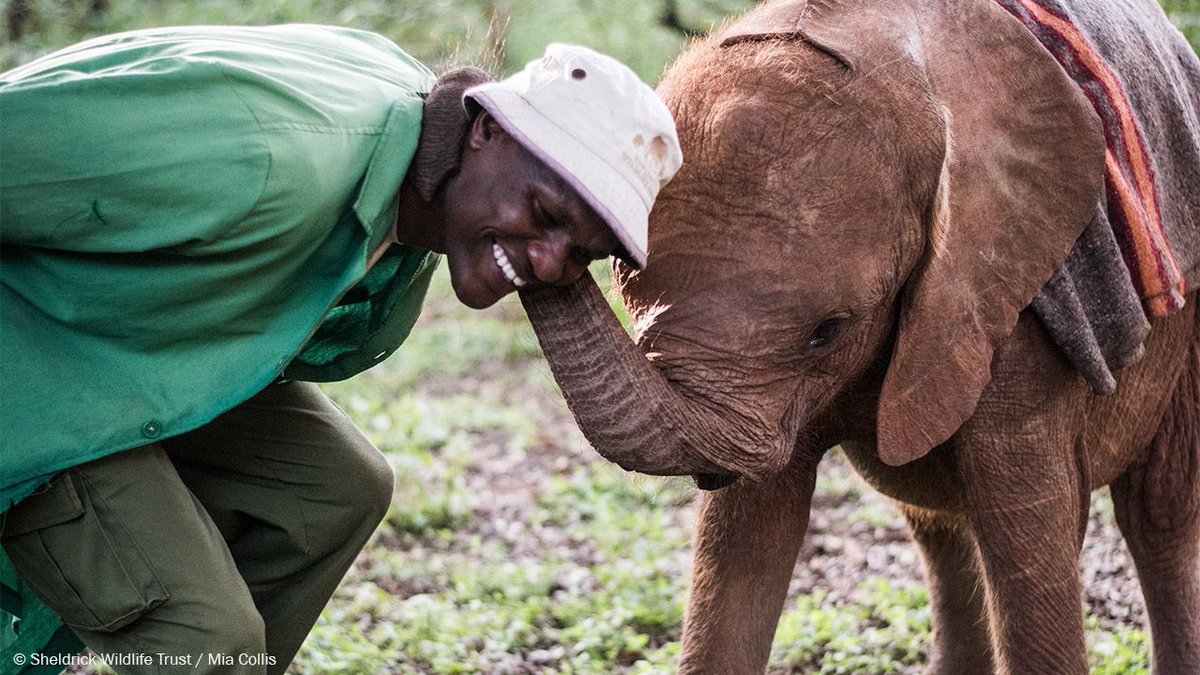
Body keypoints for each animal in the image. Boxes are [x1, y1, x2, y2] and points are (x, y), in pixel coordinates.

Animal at [517, 0, 1200, 673]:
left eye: (828, 332)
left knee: (1157, 512)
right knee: (940, 526)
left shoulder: (1010, 294)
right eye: (628, 289)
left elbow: (1024, 524)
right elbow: (745, 540)